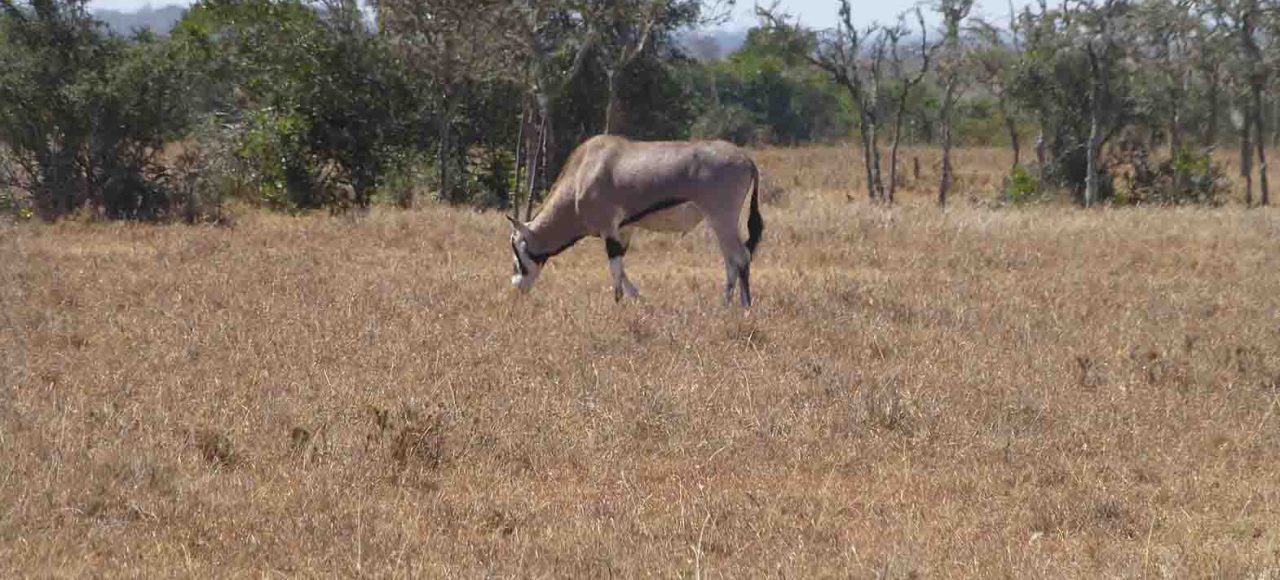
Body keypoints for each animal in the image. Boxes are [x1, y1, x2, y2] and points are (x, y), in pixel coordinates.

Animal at [508, 135, 763, 306]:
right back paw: (726, 304)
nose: (518, 286)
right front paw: (638, 297)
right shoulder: (624, 230)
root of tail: (747, 160)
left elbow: (614, 268)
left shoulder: (609, 228)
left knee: (740, 257)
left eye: (518, 250)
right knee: (731, 259)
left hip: (722, 218)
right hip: (720, 222)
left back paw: (744, 306)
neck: (581, 174)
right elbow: (621, 267)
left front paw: (618, 302)